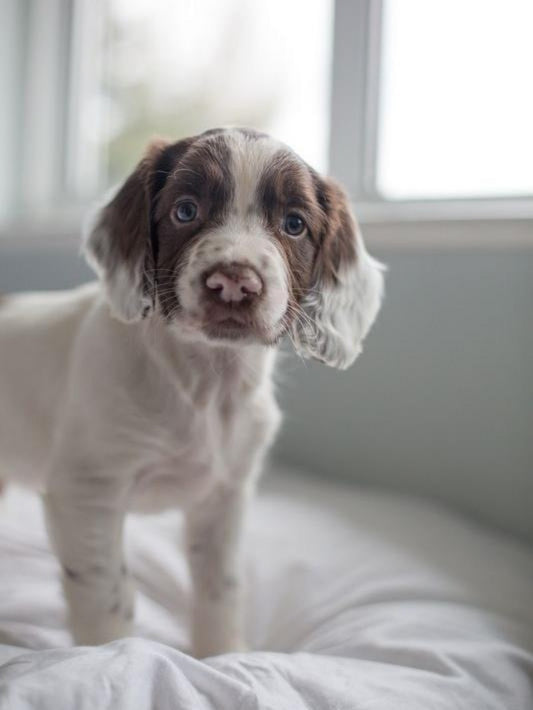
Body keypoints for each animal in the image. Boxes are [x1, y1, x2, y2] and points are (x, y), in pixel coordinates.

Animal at [0, 126, 382, 656]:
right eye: (185, 210)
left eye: (294, 223)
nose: (234, 283)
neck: (205, 383)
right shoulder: (87, 492)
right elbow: (107, 594)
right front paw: (113, 656)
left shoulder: (225, 496)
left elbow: (221, 586)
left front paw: (222, 657)